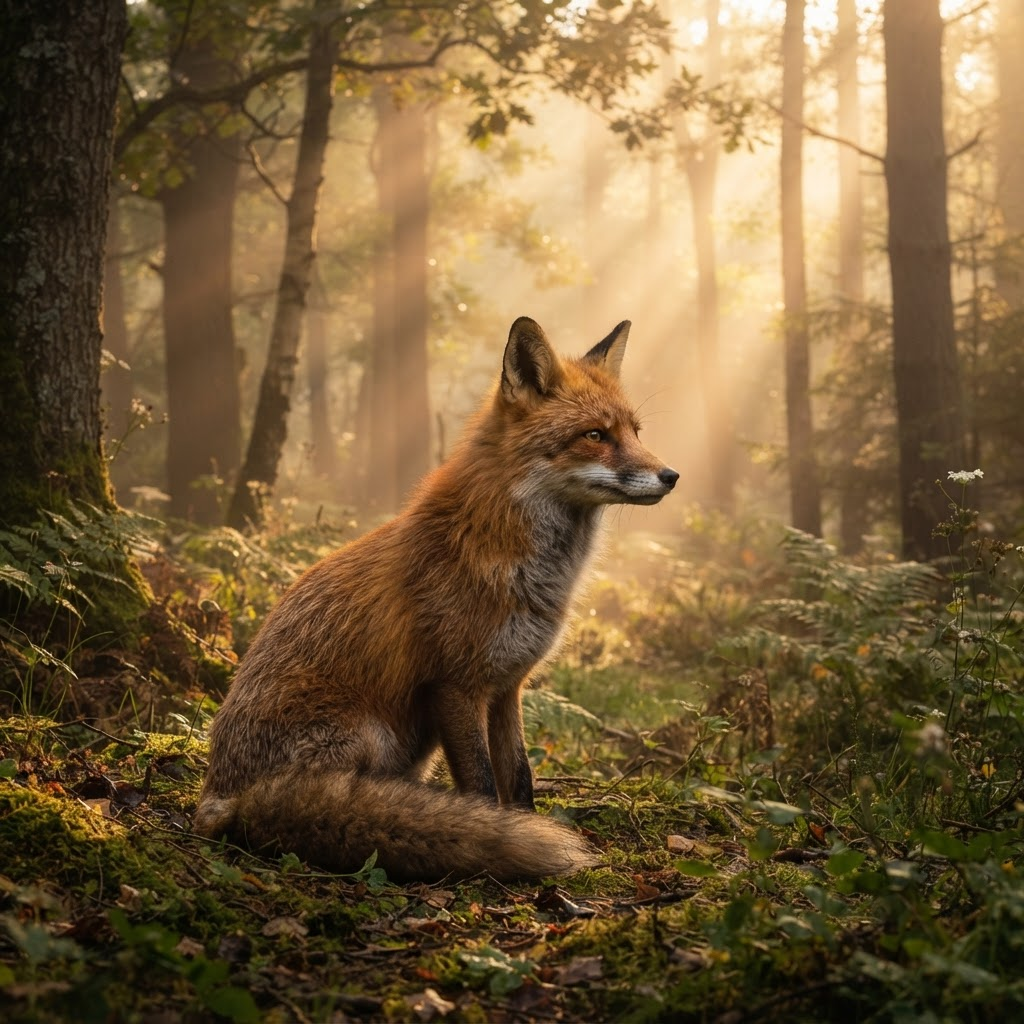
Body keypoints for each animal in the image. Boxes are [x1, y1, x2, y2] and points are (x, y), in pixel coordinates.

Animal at [193, 316, 678, 881]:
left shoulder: (508, 686)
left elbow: (520, 779)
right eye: (595, 435)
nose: (672, 476)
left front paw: (521, 830)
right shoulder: (456, 685)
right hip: (372, 736)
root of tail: (220, 798)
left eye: (635, 433)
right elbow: (484, 789)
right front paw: (496, 845)